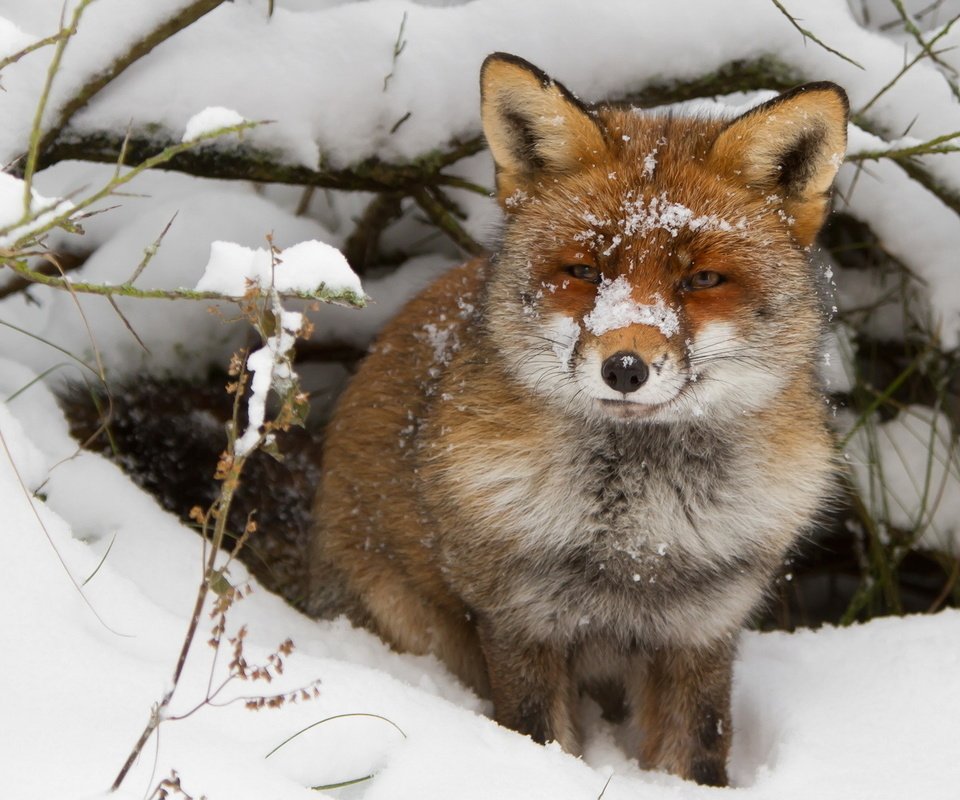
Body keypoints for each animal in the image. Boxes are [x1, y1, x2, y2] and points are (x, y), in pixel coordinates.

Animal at [312, 53, 852, 784]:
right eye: (584, 270)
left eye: (702, 280)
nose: (625, 368)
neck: (638, 540)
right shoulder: (521, 620)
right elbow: (539, 738)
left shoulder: (703, 628)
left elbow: (698, 752)